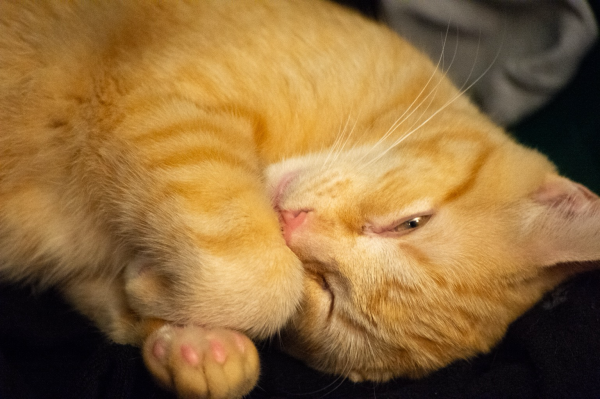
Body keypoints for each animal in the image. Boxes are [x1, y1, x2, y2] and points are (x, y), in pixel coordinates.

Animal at [1, 0, 600, 399]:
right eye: (411, 222)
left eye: (331, 299)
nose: (289, 225)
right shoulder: (151, 97)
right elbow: (260, 280)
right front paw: (168, 300)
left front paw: (193, 348)